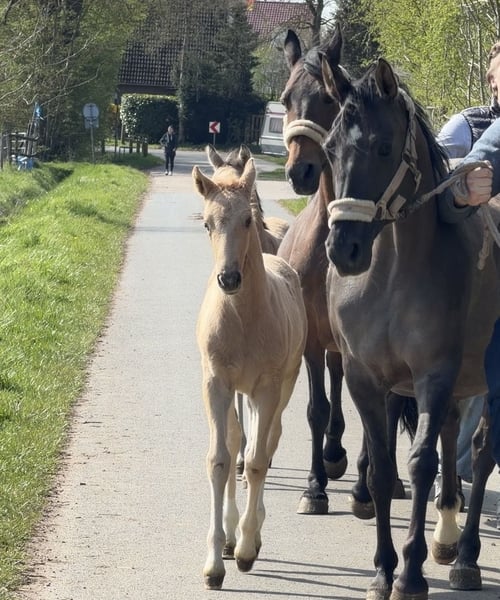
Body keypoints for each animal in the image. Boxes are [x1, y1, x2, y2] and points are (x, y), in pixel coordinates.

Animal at [278, 27, 417, 515]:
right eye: (286, 99)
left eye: (326, 98)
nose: (299, 171)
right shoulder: (312, 339)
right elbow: (318, 409)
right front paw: (315, 486)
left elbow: (376, 415)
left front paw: (363, 485)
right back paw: (334, 456)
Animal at [321, 54, 499, 599]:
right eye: (331, 148)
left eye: (383, 146)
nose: (344, 249)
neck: (393, 274)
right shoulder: (364, 378)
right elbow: (383, 469)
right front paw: (383, 568)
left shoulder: (434, 376)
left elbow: (420, 465)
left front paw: (412, 571)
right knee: (453, 437)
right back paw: (447, 535)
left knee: (481, 454)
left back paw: (465, 556)